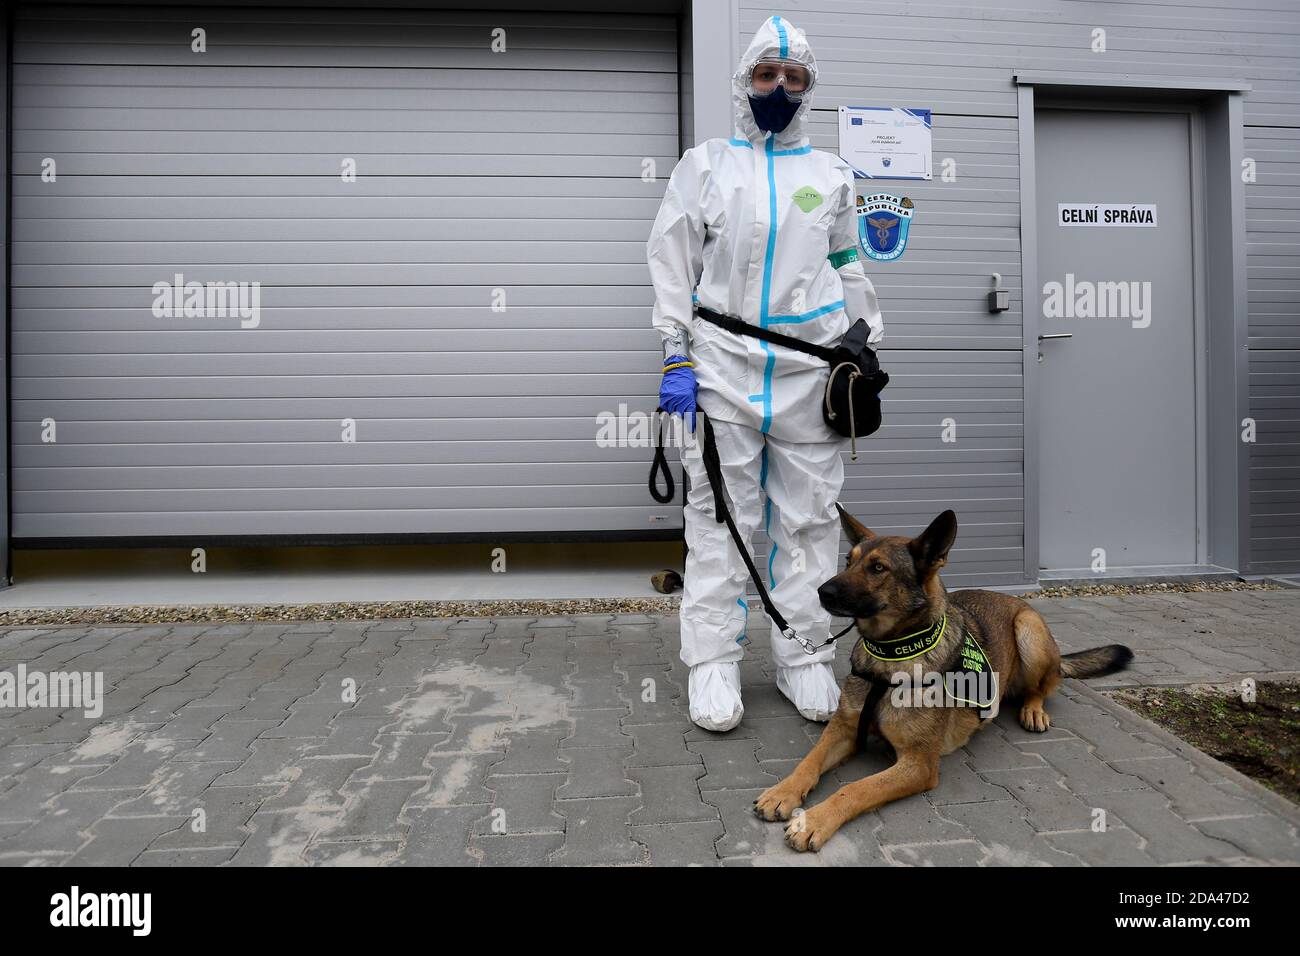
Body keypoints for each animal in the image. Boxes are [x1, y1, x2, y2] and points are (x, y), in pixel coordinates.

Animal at [759, 509, 1133, 853]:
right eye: (848, 561)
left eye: (878, 568)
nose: (821, 591)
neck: (889, 660)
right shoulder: (843, 729)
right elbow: (810, 760)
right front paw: (783, 791)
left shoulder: (919, 764)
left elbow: (855, 788)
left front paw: (814, 820)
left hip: (1029, 631)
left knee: (1041, 687)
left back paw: (1033, 710)